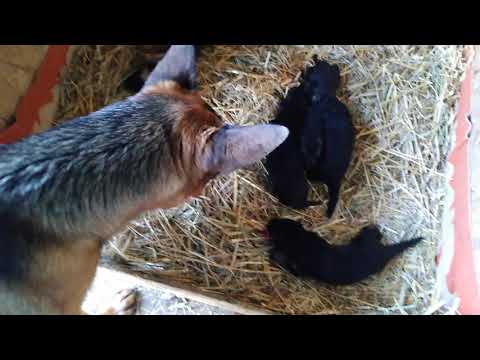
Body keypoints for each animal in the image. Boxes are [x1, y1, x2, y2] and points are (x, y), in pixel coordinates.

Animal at [266, 218, 424, 286]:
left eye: (274, 229)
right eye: (285, 219)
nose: (270, 221)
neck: (302, 242)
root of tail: (383, 250)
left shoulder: (300, 267)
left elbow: (292, 269)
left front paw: (274, 255)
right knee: (375, 235)